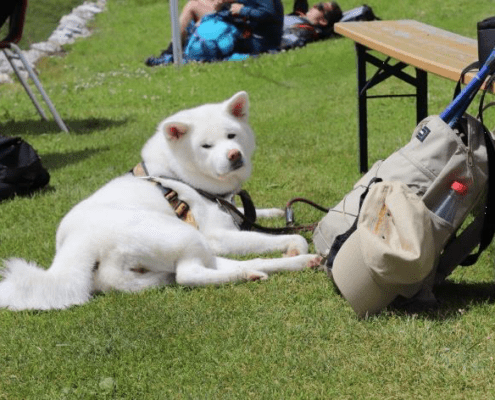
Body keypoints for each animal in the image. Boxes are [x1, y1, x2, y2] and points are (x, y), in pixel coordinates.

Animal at [0, 92, 320, 310]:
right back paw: (271, 266)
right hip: (184, 236)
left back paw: (273, 267)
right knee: (188, 275)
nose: (234, 155)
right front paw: (293, 240)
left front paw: (274, 211)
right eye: (206, 146)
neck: (177, 175)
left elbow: (246, 213)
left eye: (232, 135)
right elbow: (277, 235)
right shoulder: (217, 235)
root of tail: (76, 245)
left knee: (223, 266)